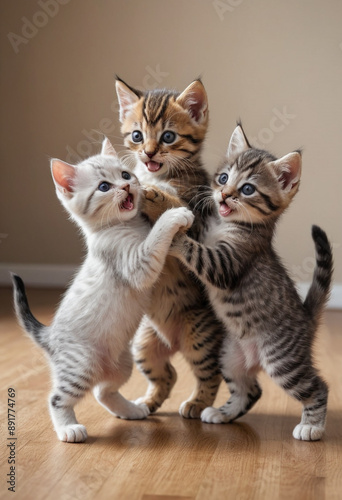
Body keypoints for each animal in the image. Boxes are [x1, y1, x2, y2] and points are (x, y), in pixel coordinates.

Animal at [12, 139, 194, 444]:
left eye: (125, 174)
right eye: (104, 187)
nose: (127, 186)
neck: (128, 224)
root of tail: (50, 335)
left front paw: (164, 194)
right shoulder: (139, 264)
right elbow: (157, 235)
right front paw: (173, 215)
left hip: (123, 363)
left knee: (102, 392)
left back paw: (130, 410)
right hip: (81, 365)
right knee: (57, 399)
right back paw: (68, 429)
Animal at [172, 125, 332, 442]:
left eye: (247, 189)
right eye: (223, 178)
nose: (224, 195)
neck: (224, 224)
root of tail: (306, 318)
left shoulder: (228, 263)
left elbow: (198, 252)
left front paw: (174, 235)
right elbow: (198, 234)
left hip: (282, 360)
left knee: (317, 387)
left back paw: (312, 426)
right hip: (229, 356)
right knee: (251, 389)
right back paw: (222, 413)